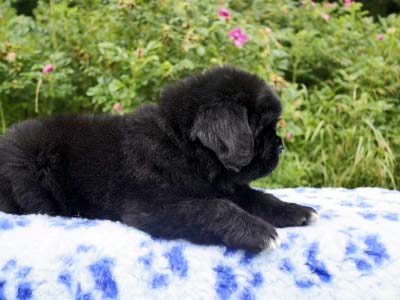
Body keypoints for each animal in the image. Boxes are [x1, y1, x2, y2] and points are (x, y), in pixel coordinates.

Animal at [0, 67, 318, 252]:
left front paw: (296, 210)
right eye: (260, 128)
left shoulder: (224, 186)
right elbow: (214, 208)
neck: (181, 146)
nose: (280, 147)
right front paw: (259, 232)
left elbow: (259, 197)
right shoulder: (154, 205)